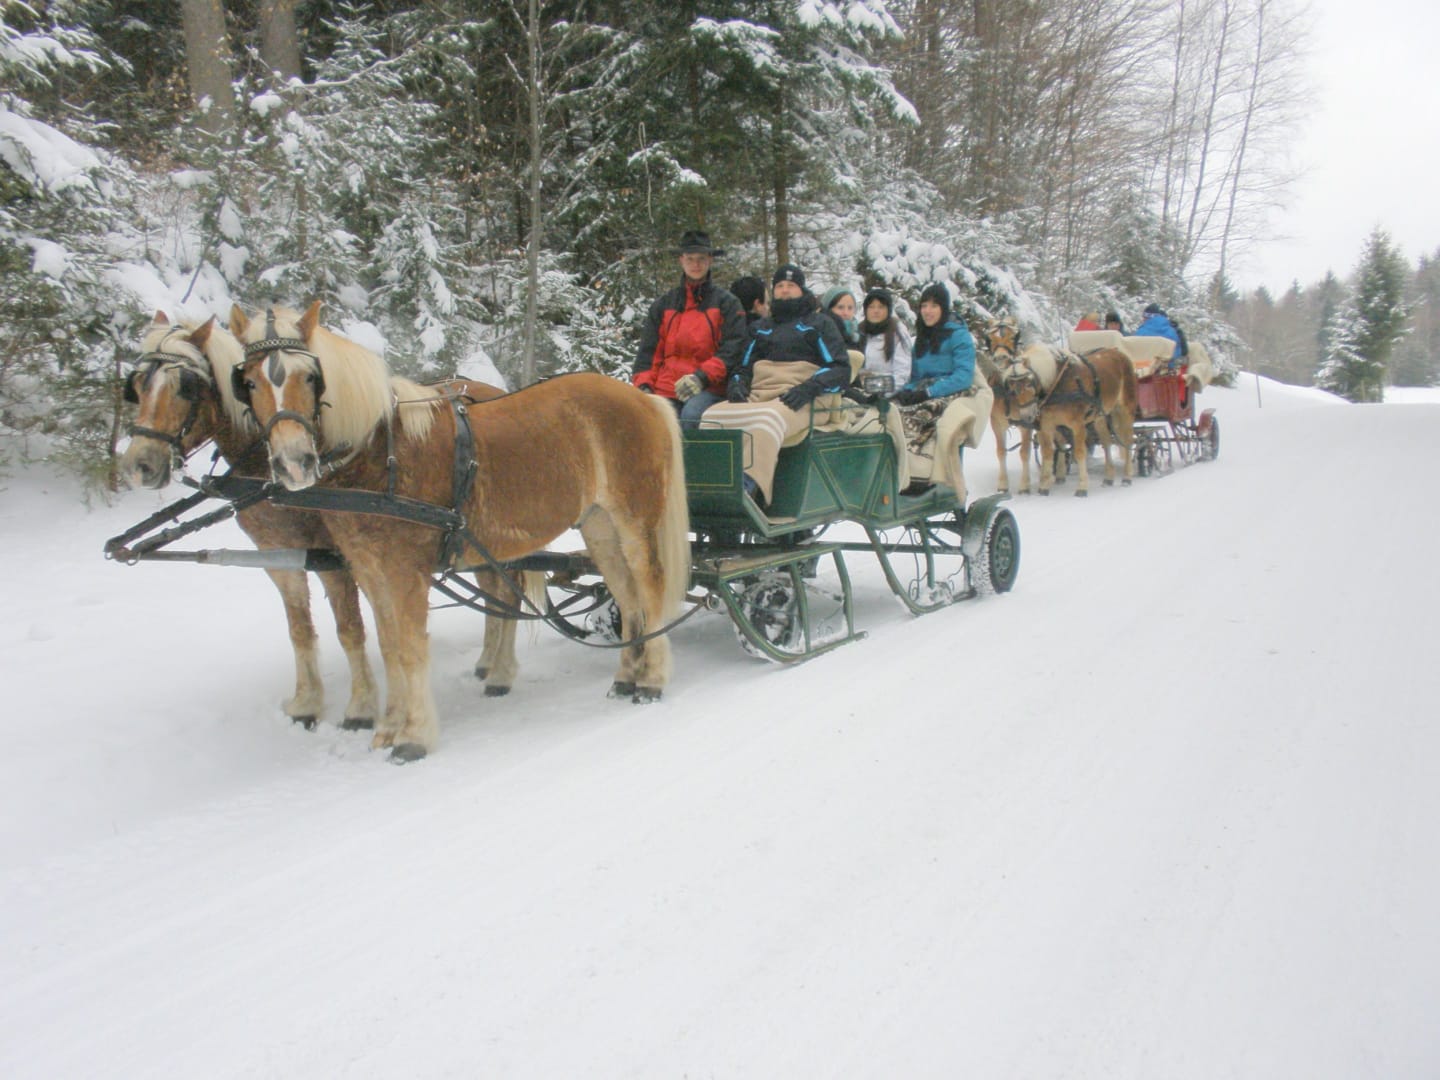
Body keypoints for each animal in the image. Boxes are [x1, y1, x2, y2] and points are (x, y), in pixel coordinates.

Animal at [117, 314, 527, 732]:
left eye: (185, 386)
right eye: (137, 385)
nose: (139, 465)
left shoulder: (334, 557)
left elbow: (350, 630)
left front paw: (361, 708)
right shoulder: (280, 555)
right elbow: (299, 629)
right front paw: (307, 703)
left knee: (508, 588)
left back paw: (500, 669)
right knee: (490, 586)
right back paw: (487, 659)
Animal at [228, 302, 691, 762]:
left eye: (310, 376)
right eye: (247, 382)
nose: (294, 463)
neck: (382, 454)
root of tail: (643, 397)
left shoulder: (406, 571)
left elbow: (411, 648)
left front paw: (413, 736)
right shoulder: (368, 568)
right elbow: (389, 646)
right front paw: (388, 728)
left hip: (635, 523)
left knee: (650, 589)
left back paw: (652, 681)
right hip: (599, 527)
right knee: (628, 598)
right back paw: (627, 676)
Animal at [985, 320, 1138, 497]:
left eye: (1030, 384)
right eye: (990, 338)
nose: (1000, 358)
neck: (1057, 383)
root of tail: (1118, 352)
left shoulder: (1076, 425)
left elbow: (1078, 452)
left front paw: (1082, 487)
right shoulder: (1040, 424)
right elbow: (1044, 452)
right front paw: (1042, 486)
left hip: (1125, 409)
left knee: (1127, 440)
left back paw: (1127, 477)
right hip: (1100, 415)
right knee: (1105, 443)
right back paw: (1107, 477)